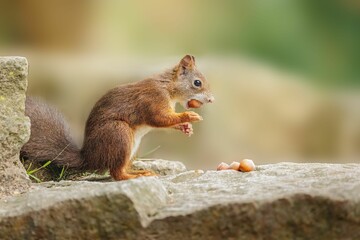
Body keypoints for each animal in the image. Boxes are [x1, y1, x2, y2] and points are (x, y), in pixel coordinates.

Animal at [20, 55, 214, 180]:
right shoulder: (153, 100)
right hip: (118, 134)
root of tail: (91, 157)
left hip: (132, 146)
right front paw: (188, 116)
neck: (167, 87)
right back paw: (134, 176)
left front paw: (186, 127)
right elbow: (159, 119)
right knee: (116, 173)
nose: (212, 99)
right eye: (197, 83)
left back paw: (139, 172)